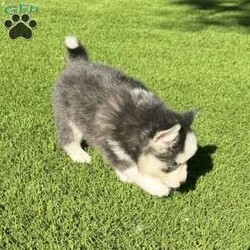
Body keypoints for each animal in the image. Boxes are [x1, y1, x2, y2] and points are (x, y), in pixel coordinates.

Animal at [53, 36, 198, 196]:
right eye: (173, 165)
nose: (183, 182)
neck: (142, 119)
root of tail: (79, 62)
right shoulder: (112, 144)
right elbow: (133, 170)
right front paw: (157, 187)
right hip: (67, 113)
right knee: (69, 137)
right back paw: (79, 154)